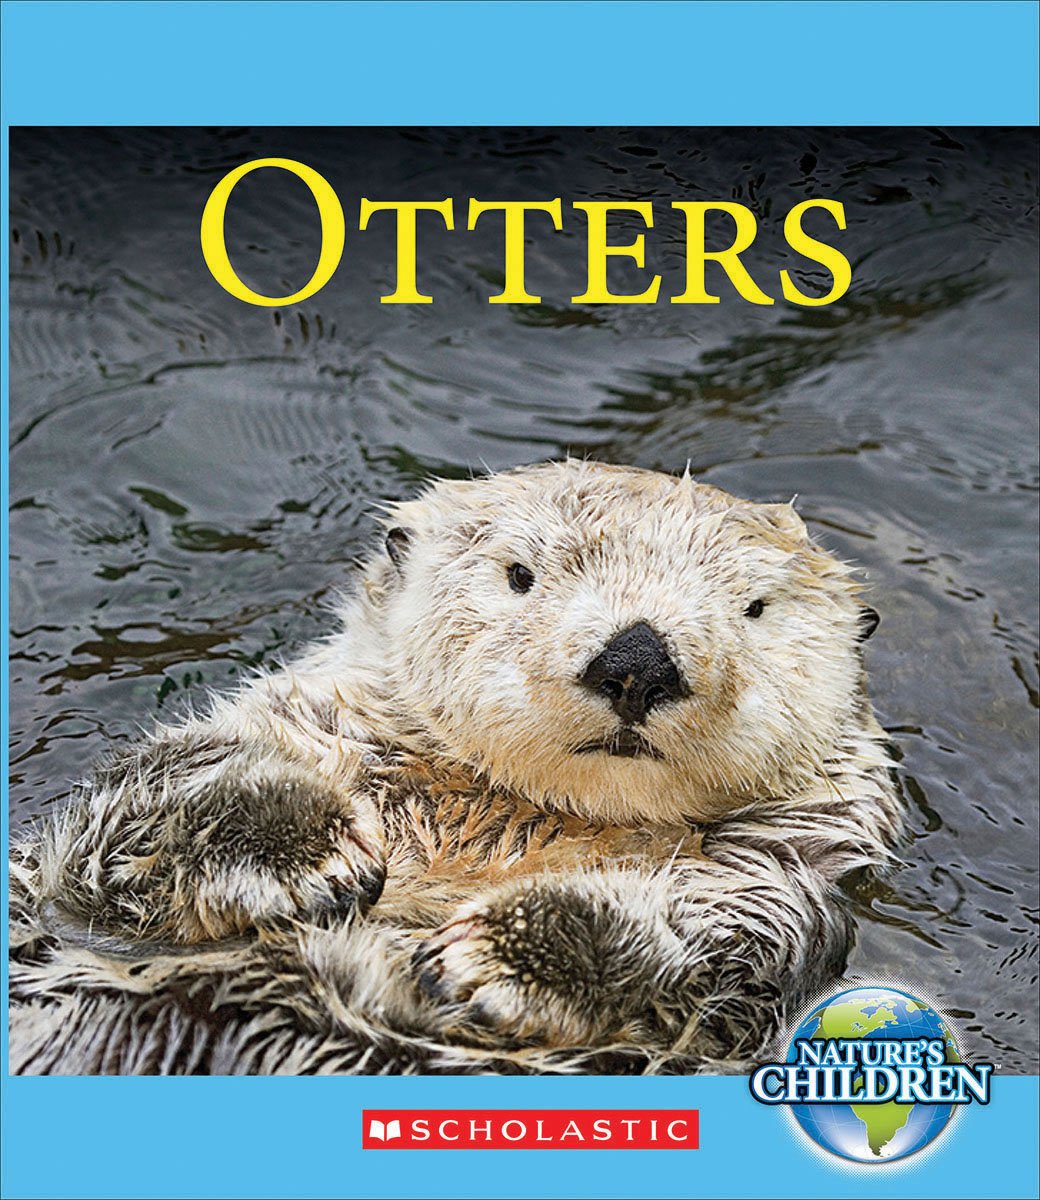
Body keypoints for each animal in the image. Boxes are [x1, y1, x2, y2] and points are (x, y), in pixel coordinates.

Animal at [9, 460, 902, 1075]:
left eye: (755, 608)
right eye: (520, 574)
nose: (638, 661)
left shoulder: (780, 882)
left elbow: (709, 939)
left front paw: (504, 953)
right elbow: (132, 812)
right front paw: (297, 844)